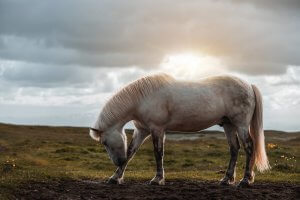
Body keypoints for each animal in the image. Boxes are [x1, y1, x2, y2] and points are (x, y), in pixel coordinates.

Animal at [89, 74, 270, 187]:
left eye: (105, 142)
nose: (117, 162)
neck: (143, 99)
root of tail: (249, 85)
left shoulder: (157, 129)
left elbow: (158, 153)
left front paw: (157, 179)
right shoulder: (142, 130)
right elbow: (131, 152)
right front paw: (115, 177)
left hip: (240, 125)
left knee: (249, 147)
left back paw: (245, 180)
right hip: (228, 125)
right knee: (234, 149)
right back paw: (226, 179)